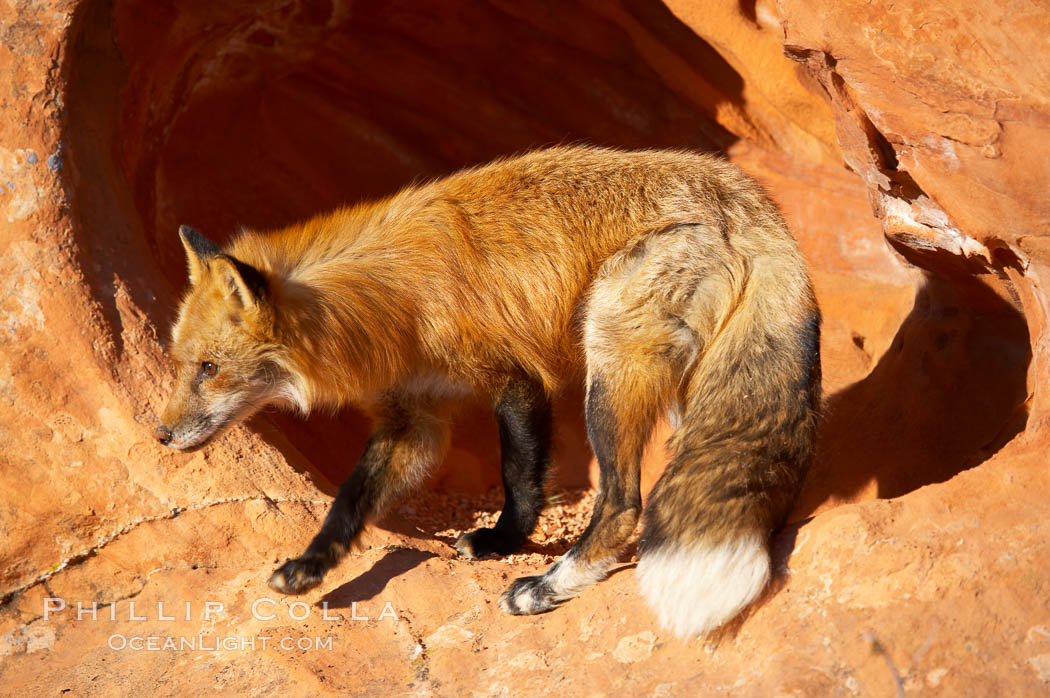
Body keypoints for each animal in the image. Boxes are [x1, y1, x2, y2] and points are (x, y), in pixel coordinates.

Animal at [155, 146, 823, 638]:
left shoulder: (516, 381)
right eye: (183, 364)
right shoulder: (412, 418)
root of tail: (741, 192)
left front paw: (505, 543)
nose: (160, 434)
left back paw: (550, 587)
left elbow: (519, 479)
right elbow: (349, 501)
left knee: (625, 503)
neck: (392, 300)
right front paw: (311, 567)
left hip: (609, 359)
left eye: (209, 368)